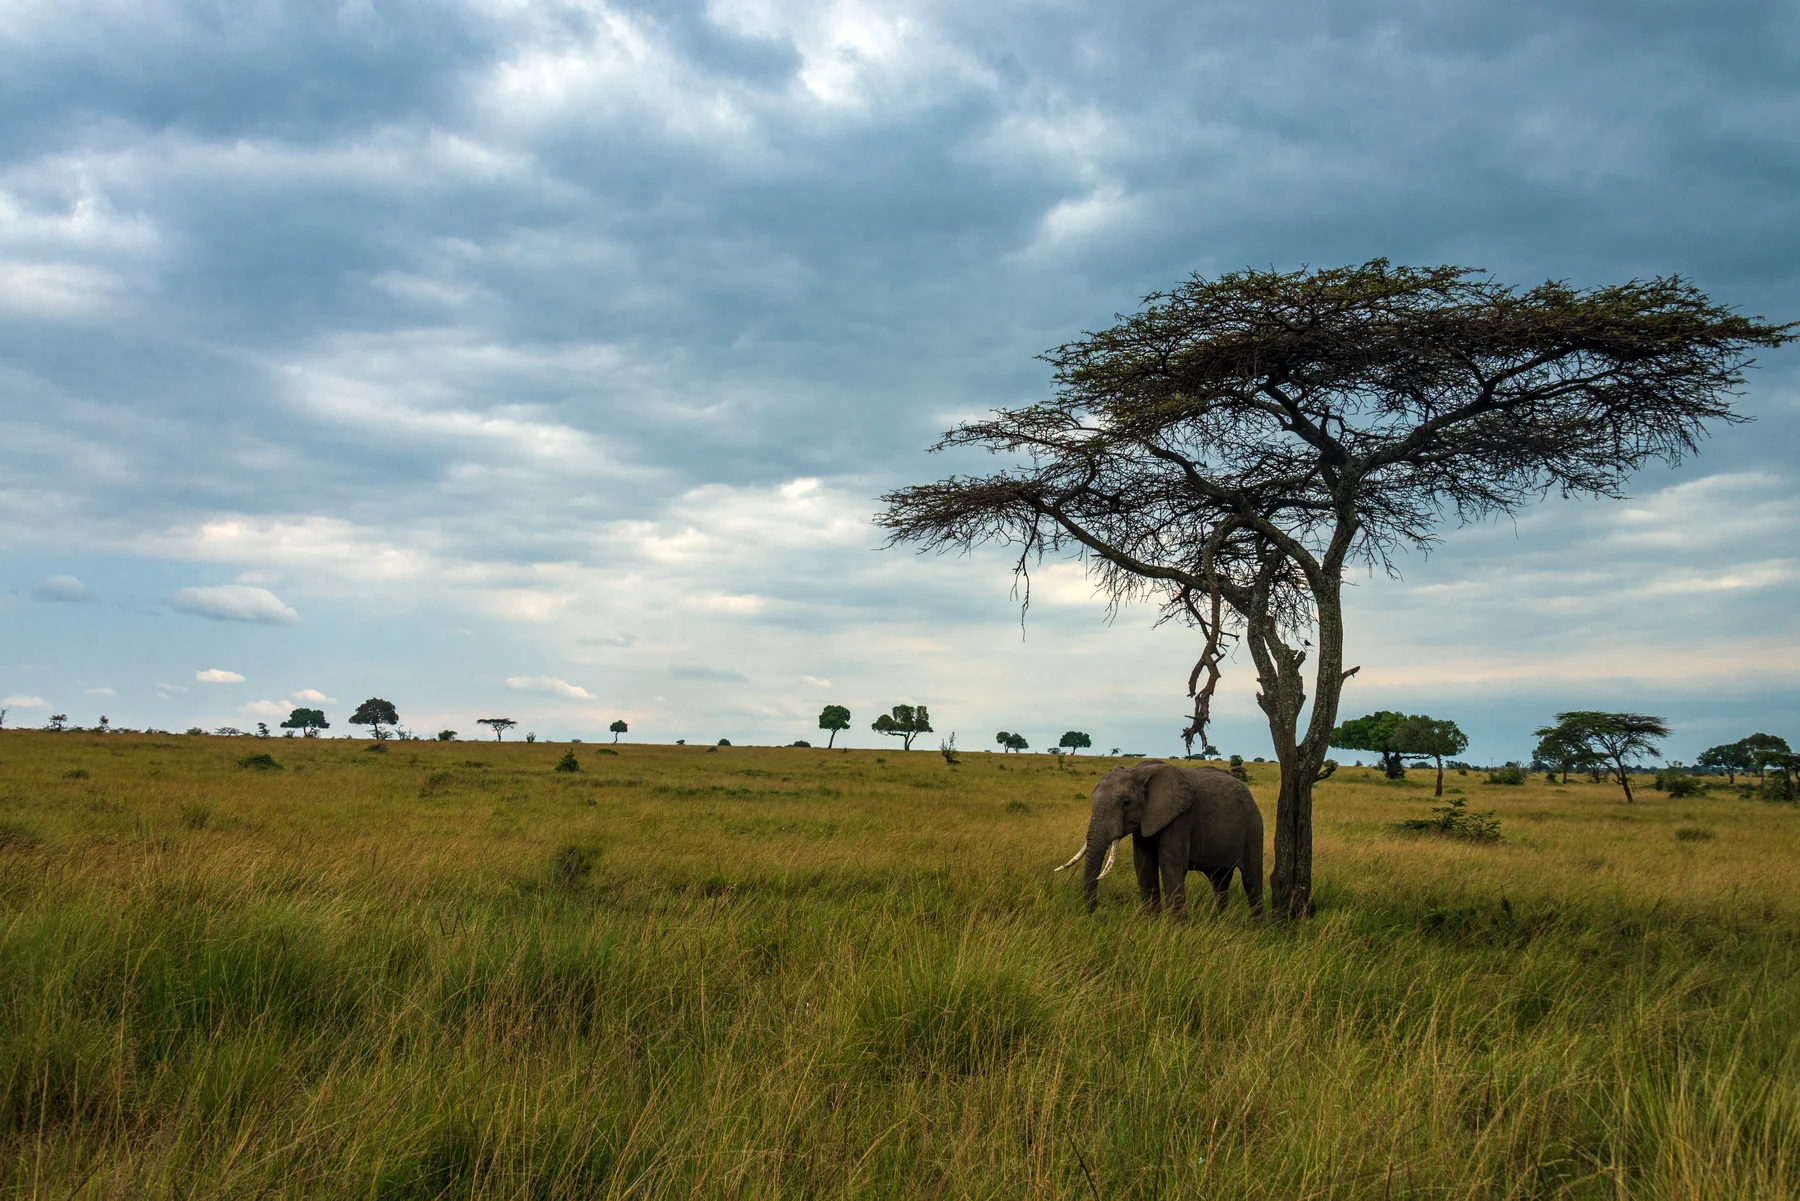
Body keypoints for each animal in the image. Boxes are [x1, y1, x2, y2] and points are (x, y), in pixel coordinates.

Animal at [1055, 759, 1263, 918]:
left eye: (1125, 803)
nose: (1096, 915)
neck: (1139, 772)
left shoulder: (1180, 817)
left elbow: (1171, 863)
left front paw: (1176, 930)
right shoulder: (1145, 820)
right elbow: (1143, 864)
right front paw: (1150, 923)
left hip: (1253, 826)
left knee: (1251, 880)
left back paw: (1257, 929)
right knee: (1220, 881)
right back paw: (1216, 922)